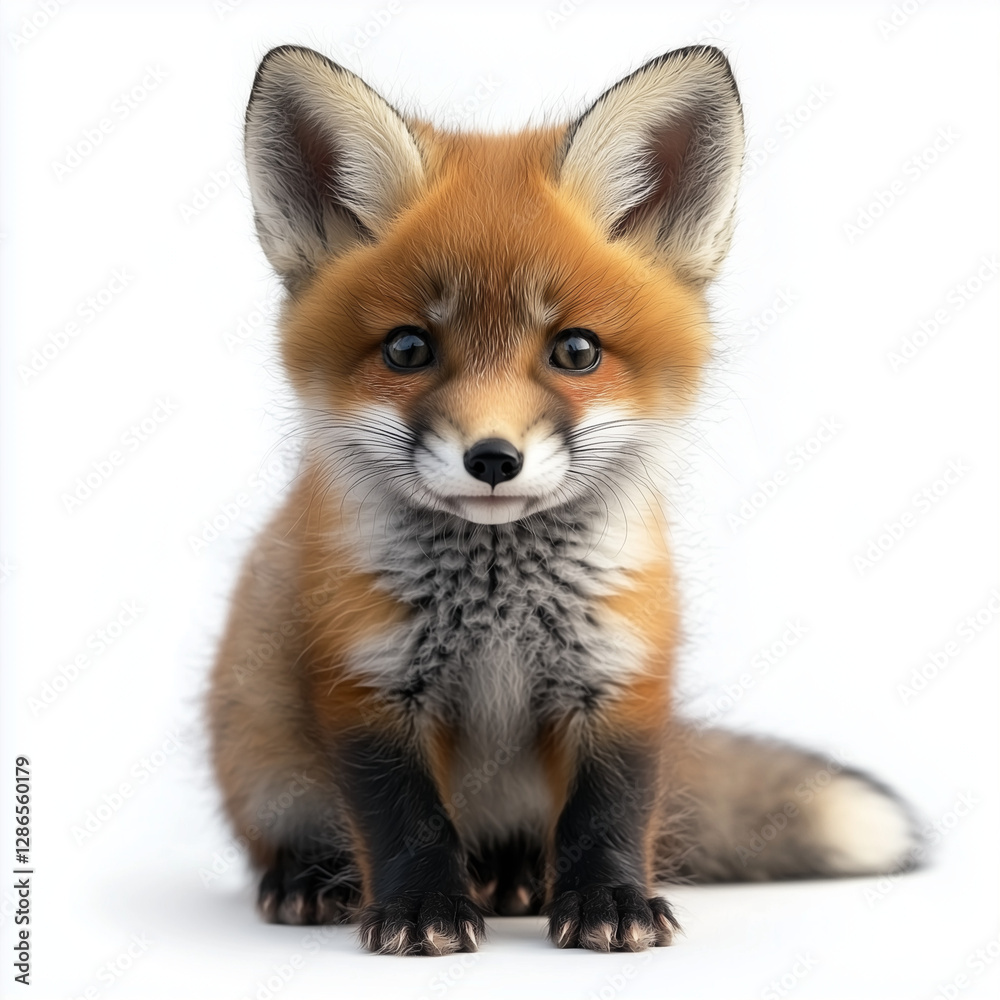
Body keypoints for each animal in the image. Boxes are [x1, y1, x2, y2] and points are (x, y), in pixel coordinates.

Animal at [207, 44, 918, 955]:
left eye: (575, 351)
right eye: (408, 349)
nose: (492, 458)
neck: (497, 612)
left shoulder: (620, 671)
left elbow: (609, 812)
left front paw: (610, 903)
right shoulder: (365, 679)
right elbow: (404, 819)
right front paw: (420, 910)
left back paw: (517, 878)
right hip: (261, 754)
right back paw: (309, 880)